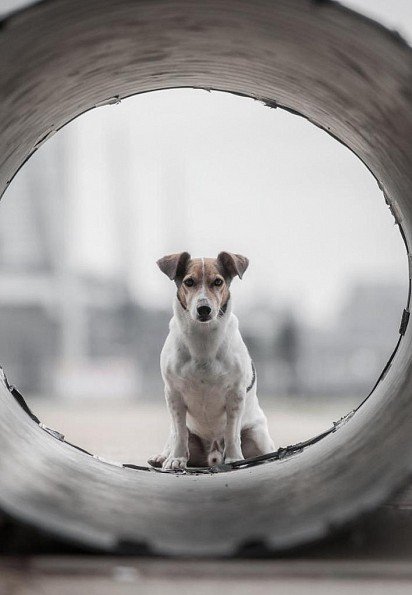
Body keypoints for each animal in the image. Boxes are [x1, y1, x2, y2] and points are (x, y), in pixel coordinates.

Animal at [148, 251, 274, 470]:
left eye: (218, 282)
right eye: (189, 282)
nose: (204, 308)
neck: (203, 338)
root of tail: (212, 453)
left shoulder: (235, 395)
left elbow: (231, 433)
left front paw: (234, 459)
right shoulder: (173, 394)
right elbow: (180, 433)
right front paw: (176, 459)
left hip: (257, 434)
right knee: (174, 435)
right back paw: (163, 456)